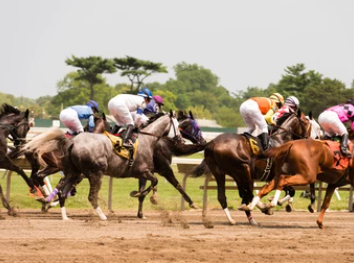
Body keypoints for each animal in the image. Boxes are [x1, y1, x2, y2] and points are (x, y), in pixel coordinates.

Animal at [22, 112, 180, 220]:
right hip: (95, 173)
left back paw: (63, 215)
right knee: (91, 196)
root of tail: (71, 142)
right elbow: (154, 181)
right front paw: (143, 195)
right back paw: (102, 216)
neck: (147, 140)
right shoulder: (142, 170)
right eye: (178, 126)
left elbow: (154, 182)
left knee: (58, 189)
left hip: (72, 172)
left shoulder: (142, 172)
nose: (179, 139)